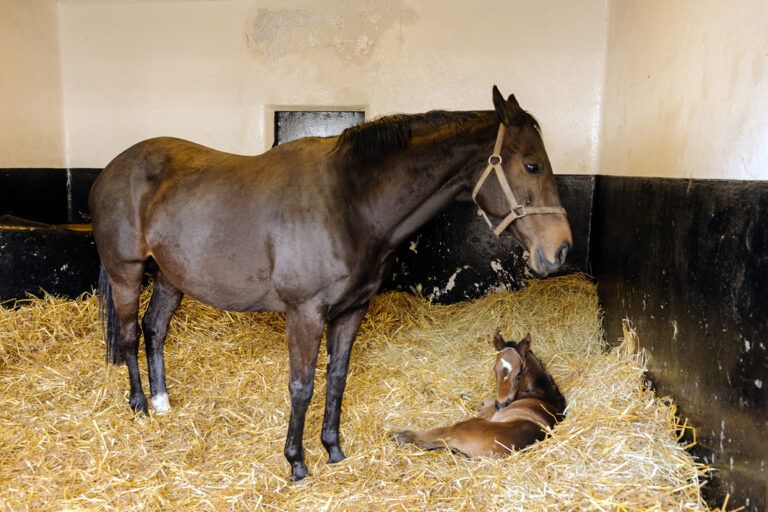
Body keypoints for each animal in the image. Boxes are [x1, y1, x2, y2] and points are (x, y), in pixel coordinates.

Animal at [393, 331, 566, 456]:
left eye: (519, 373)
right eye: (494, 369)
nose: (501, 404)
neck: (540, 393)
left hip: (461, 427)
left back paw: (401, 435)